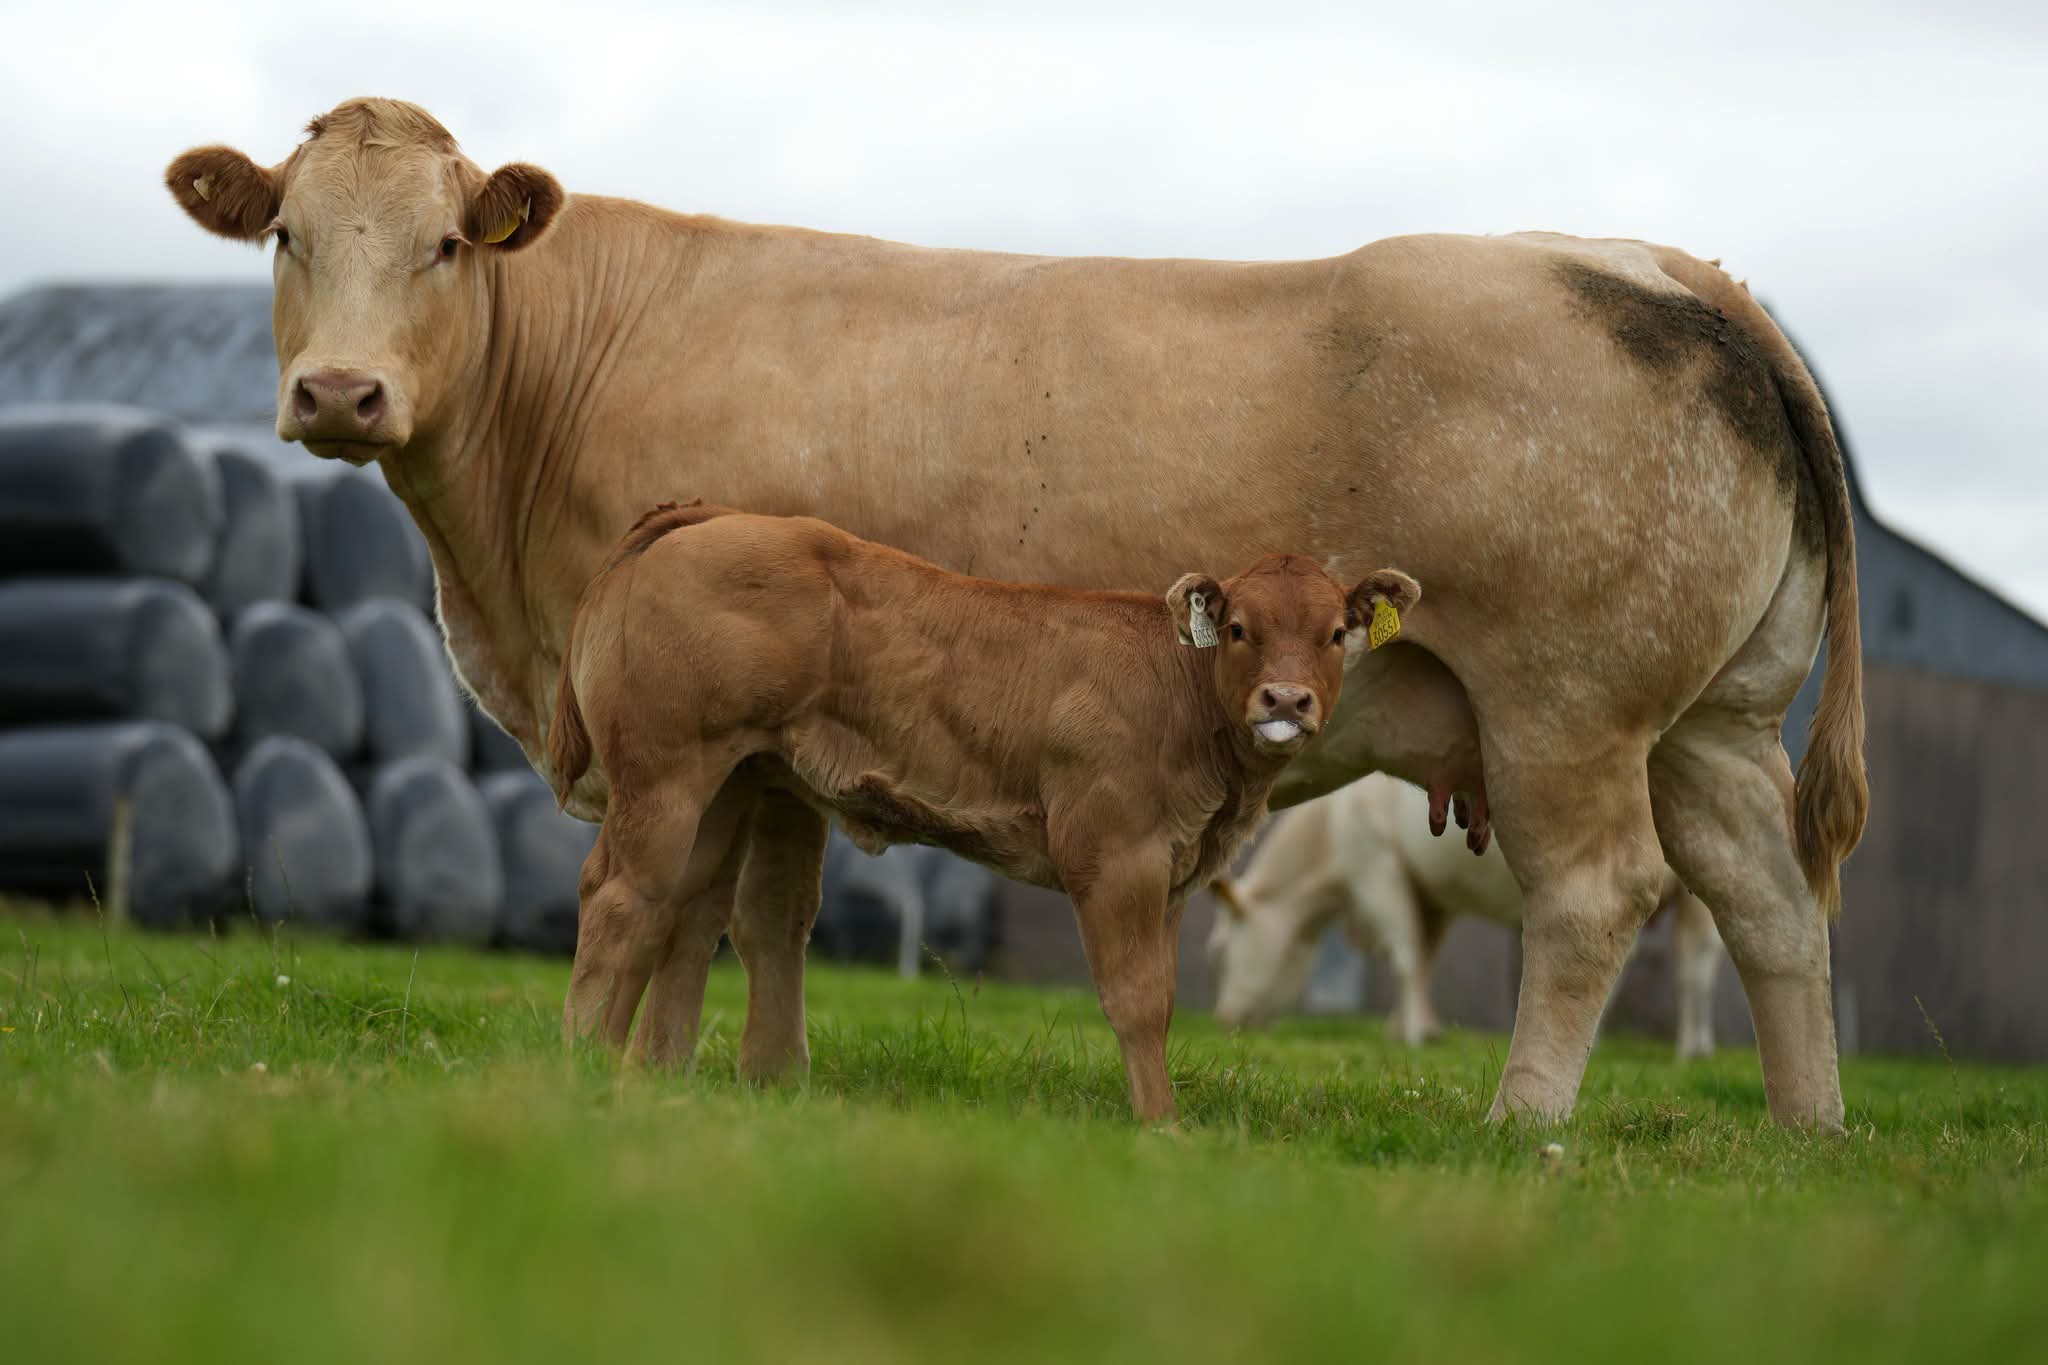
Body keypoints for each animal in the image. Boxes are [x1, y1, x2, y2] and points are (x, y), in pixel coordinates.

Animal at [542, 500, 1423, 1121]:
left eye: (1336, 632)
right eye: (1239, 628)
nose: (1286, 699)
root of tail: (713, 515)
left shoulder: (1173, 867)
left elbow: (1164, 994)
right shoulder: (1114, 853)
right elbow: (1136, 997)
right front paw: (1161, 1126)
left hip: (726, 781)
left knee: (673, 905)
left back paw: (622, 1069)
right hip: (666, 770)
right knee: (617, 896)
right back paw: (579, 1058)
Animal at [1206, 774, 1723, 1060]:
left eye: (1225, 950)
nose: (1224, 1018)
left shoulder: (1375, 867)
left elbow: (1405, 956)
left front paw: (1413, 1035)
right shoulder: (1433, 894)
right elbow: (1424, 956)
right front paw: (1414, 1027)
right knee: (1694, 968)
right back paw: (1695, 1049)